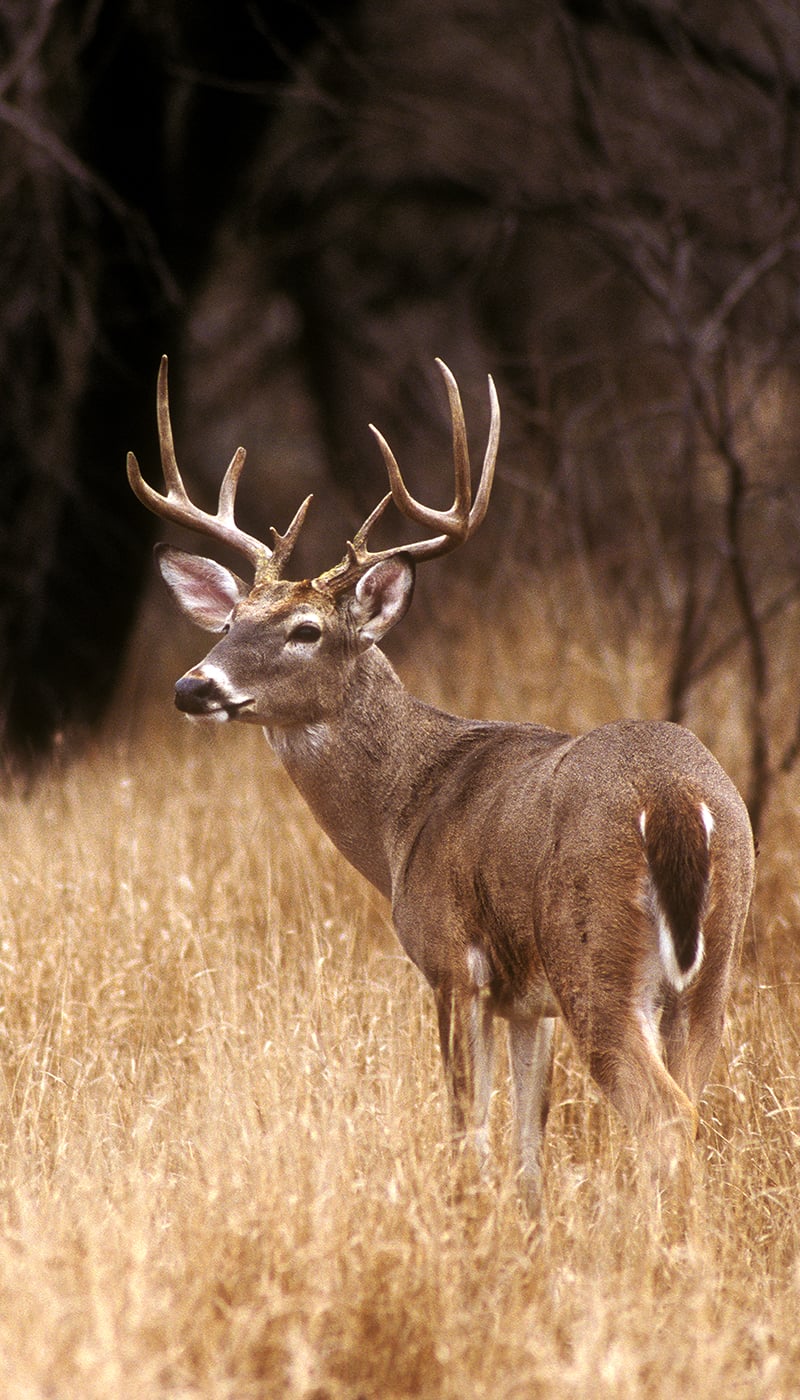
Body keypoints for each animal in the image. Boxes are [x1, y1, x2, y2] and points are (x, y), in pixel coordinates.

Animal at [128, 355, 756, 1209]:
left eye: (306, 630)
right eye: (229, 623)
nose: (193, 687)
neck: (404, 811)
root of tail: (675, 802)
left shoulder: (452, 960)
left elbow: (469, 1131)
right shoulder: (527, 1002)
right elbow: (528, 1139)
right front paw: (524, 1222)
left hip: (596, 955)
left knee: (663, 1119)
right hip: (713, 966)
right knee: (692, 1106)